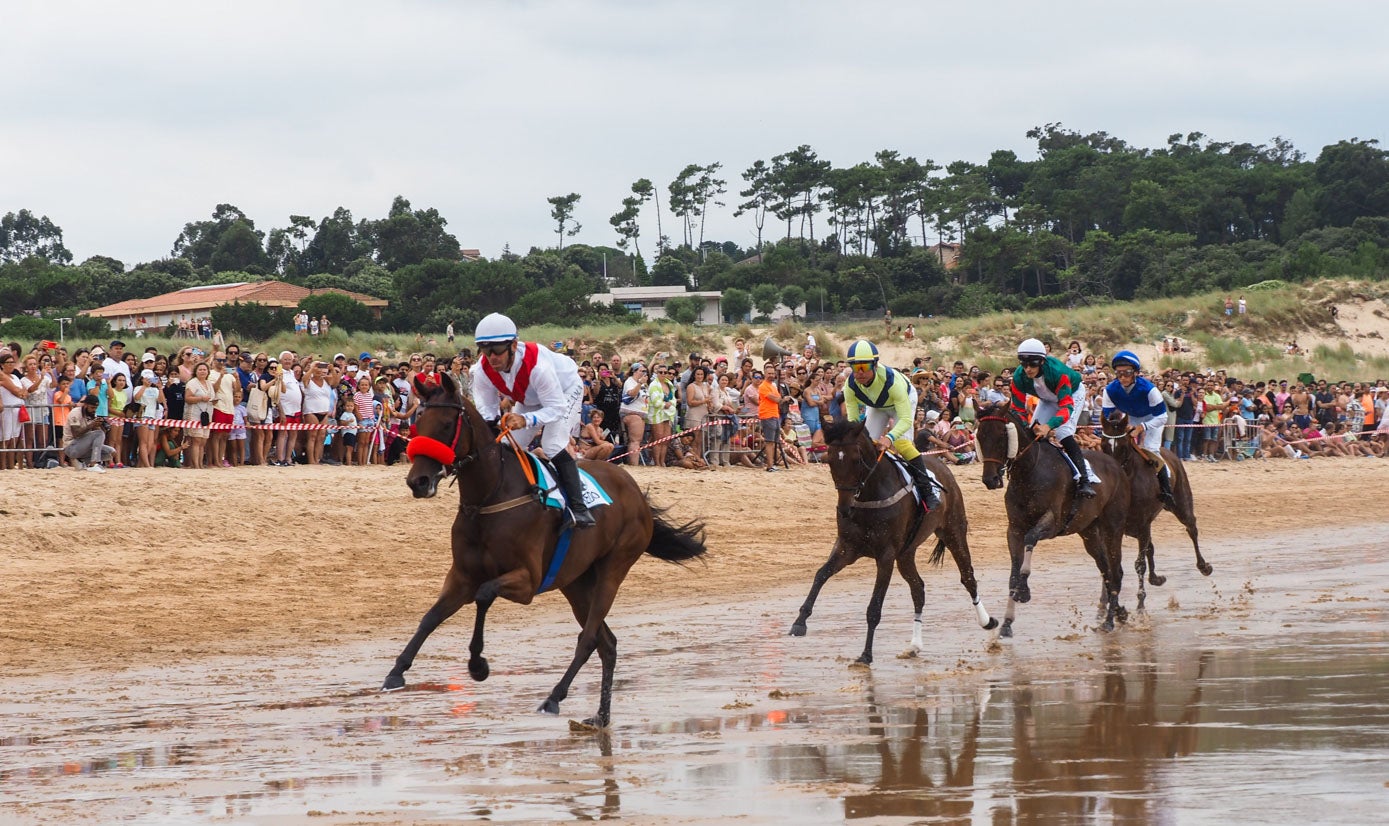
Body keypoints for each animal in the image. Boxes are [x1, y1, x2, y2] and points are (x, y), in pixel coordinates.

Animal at [383, 372, 700, 727]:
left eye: (448, 424)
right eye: (417, 423)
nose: (418, 481)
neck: (490, 497)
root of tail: (636, 493)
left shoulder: (527, 581)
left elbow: (483, 595)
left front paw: (478, 665)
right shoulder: (462, 576)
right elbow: (431, 616)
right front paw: (396, 672)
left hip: (612, 569)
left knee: (589, 639)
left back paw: (554, 698)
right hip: (576, 582)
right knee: (607, 643)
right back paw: (600, 716)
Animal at [788, 419, 994, 666]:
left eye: (856, 459)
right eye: (829, 459)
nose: (844, 509)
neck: (869, 497)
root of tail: (942, 466)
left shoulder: (885, 555)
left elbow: (875, 606)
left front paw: (866, 654)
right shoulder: (848, 547)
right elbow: (821, 574)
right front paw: (799, 622)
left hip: (953, 530)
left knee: (968, 577)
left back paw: (988, 622)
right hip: (906, 552)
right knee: (918, 588)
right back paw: (914, 645)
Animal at [972, 405, 1133, 635]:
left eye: (1002, 435)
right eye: (979, 436)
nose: (990, 479)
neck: (1029, 471)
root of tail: (1117, 466)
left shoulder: (1051, 522)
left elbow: (1029, 543)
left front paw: (1023, 591)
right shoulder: (1014, 529)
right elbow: (1014, 572)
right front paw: (1007, 623)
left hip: (1113, 527)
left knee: (1116, 571)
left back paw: (1109, 621)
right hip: (1089, 532)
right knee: (1106, 570)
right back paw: (1119, 613)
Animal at [1100, 410, 1211, 610]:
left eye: (1123, 447)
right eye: (1103, 445)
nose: (1112, 472)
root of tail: (1168, 452)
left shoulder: (1142, 524)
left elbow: (1139, 564)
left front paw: (1140, 602)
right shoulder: (1112, 528)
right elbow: (1111, 564)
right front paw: (1109, 601)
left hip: (1180, 503)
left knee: (1191, 528)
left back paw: (1203, 566)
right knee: (1150, 547)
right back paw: (1156, 578)